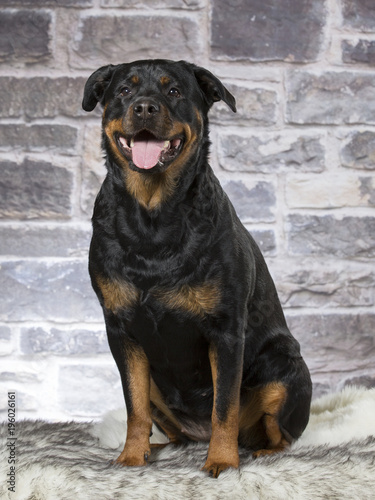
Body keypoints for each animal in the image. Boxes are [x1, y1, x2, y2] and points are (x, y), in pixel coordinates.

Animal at [83, 60, 314, 478]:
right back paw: (160, 446)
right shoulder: (121, 331)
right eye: (124, 90)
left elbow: (225, 406)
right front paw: (131, 456)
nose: (144, 107)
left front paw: (222, 461)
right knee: (167, 425)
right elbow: (134, 405)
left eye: (173, 91)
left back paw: (261, 453)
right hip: (159, 388)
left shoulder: (225, 331)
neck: (153, 216)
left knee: (281, 434)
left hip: (285, 368)